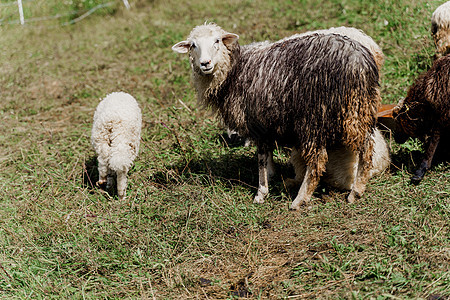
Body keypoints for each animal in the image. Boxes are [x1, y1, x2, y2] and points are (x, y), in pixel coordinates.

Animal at [172, 23, 380, 209]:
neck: (234, 70)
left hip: (313, 117)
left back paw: (300, 200)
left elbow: (261, 157)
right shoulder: (267, 121)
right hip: (358, 108)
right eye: (193, 45)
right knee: (367, 147)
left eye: (217, 41)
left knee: (318, 160)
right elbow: (267, 153)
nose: (205, 63)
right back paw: (357, 190)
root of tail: (358, 62)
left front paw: (261, 192)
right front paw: (272, 175)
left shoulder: (257, 121)